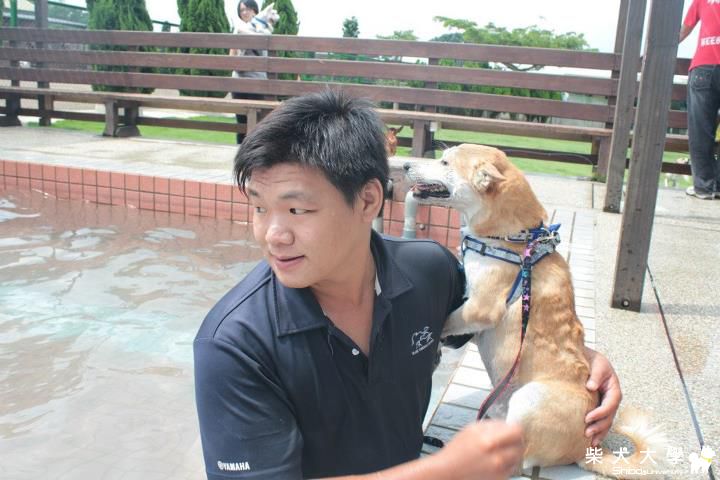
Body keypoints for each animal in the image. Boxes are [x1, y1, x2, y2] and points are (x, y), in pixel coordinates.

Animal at [405, 144, 666, 478]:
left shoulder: (479, 308)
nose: (406, 165)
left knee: (517, 460)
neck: (514, 238)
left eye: (445, 162)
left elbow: (448, 322)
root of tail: (588, 448)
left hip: (529, 399)